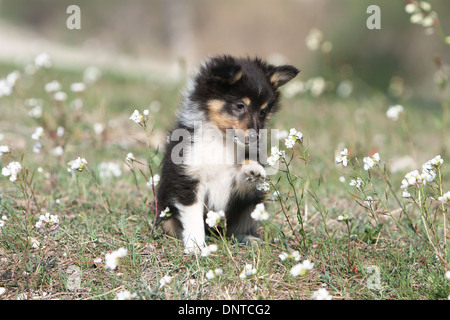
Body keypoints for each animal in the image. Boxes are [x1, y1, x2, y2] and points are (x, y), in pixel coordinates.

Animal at [156, 56, 300, 254]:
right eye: (240, 105)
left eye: (263, 112)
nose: (255, 137)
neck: (222, 140)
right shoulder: (188, 178)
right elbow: (193, 217)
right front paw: (196, 246)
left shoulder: (234, 184)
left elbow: (244, 176)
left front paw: (253, 168)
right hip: (165, 213)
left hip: (253, 204)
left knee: (234, 231)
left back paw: (249, 239)